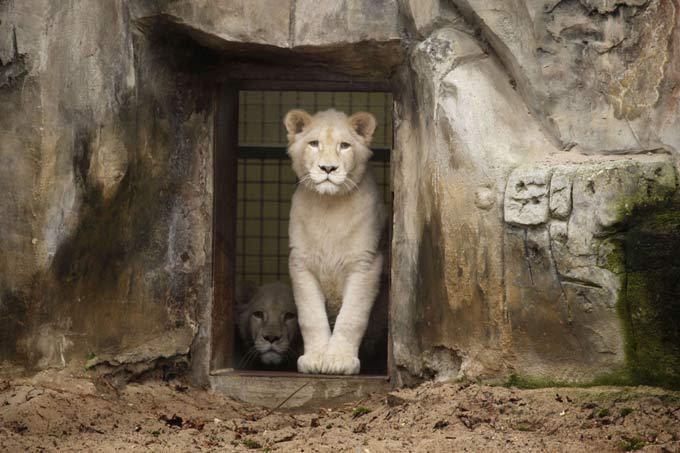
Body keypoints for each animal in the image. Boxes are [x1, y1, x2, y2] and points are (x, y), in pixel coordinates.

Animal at [284, 108, 387, 375]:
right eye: (313, 143)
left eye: (344, 145)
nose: (328, 168)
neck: (328, 206)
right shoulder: (301, 263)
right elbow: (311, 315)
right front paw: (314, 358)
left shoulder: (366, 264)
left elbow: (351, 316)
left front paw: (340, 360)